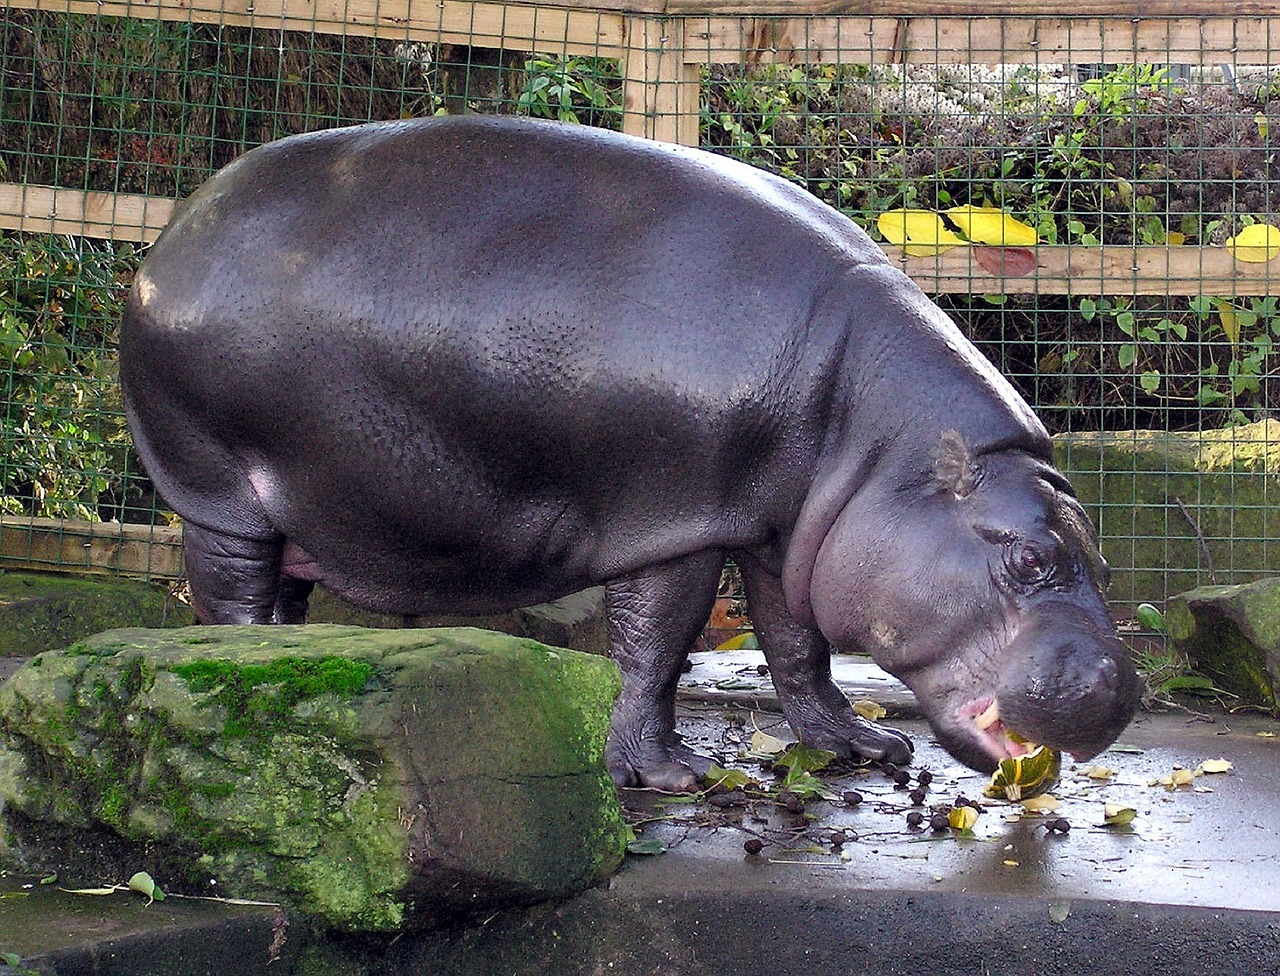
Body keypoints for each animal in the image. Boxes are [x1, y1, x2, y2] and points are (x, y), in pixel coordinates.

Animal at [120, 113, 1141, 788]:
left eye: (1096, 553)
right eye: (1030, 558)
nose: (1120, 686)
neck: (881, 447)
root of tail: (169, 240)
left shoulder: (787, 530)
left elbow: (796, 643)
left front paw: (862, 748)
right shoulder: (679, 515)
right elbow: (656, 645)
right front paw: (669, 774)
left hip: (302, 506)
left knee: (283, 596)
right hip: (218, 491)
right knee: (232, 599)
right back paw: (249, 667)